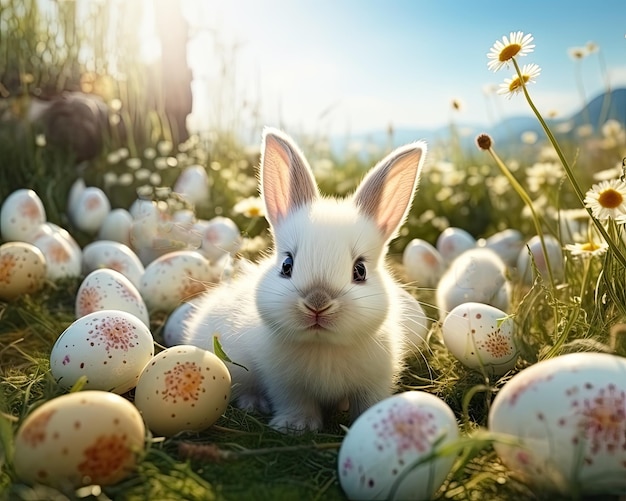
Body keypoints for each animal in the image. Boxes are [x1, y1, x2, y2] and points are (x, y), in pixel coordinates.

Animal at [183, 128, 426, 430]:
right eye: (287, 265)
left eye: (360, 271)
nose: (317, 303)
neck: (322, 345)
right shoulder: (285, 384)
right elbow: (296, 402)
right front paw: (296, 426)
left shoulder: (375, 382)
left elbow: (368, 403)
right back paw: (254, 403)